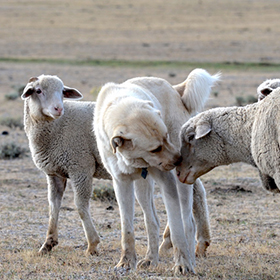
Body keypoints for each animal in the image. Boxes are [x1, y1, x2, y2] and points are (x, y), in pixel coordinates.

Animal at [21, 75, 111, 256]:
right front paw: (48, 243)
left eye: (62, 92)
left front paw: (92, 245)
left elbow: (81, 206)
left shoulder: (81, 167)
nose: (58, 109)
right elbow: (53, 205)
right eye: (38, 90)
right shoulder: (55, 173)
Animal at [94, 69, 221, 274]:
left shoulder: (168, 181)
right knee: (152, 220)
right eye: (155, 149)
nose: (179, 160)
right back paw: (150, 258)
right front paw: (126, 262)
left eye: (166, 136)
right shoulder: (121, 183)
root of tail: (175, 89)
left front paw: (183, 263)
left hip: (180, 183)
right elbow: (127, 228)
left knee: (188, 221)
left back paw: (190, 255)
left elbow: (178, 227)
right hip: (142, 187)